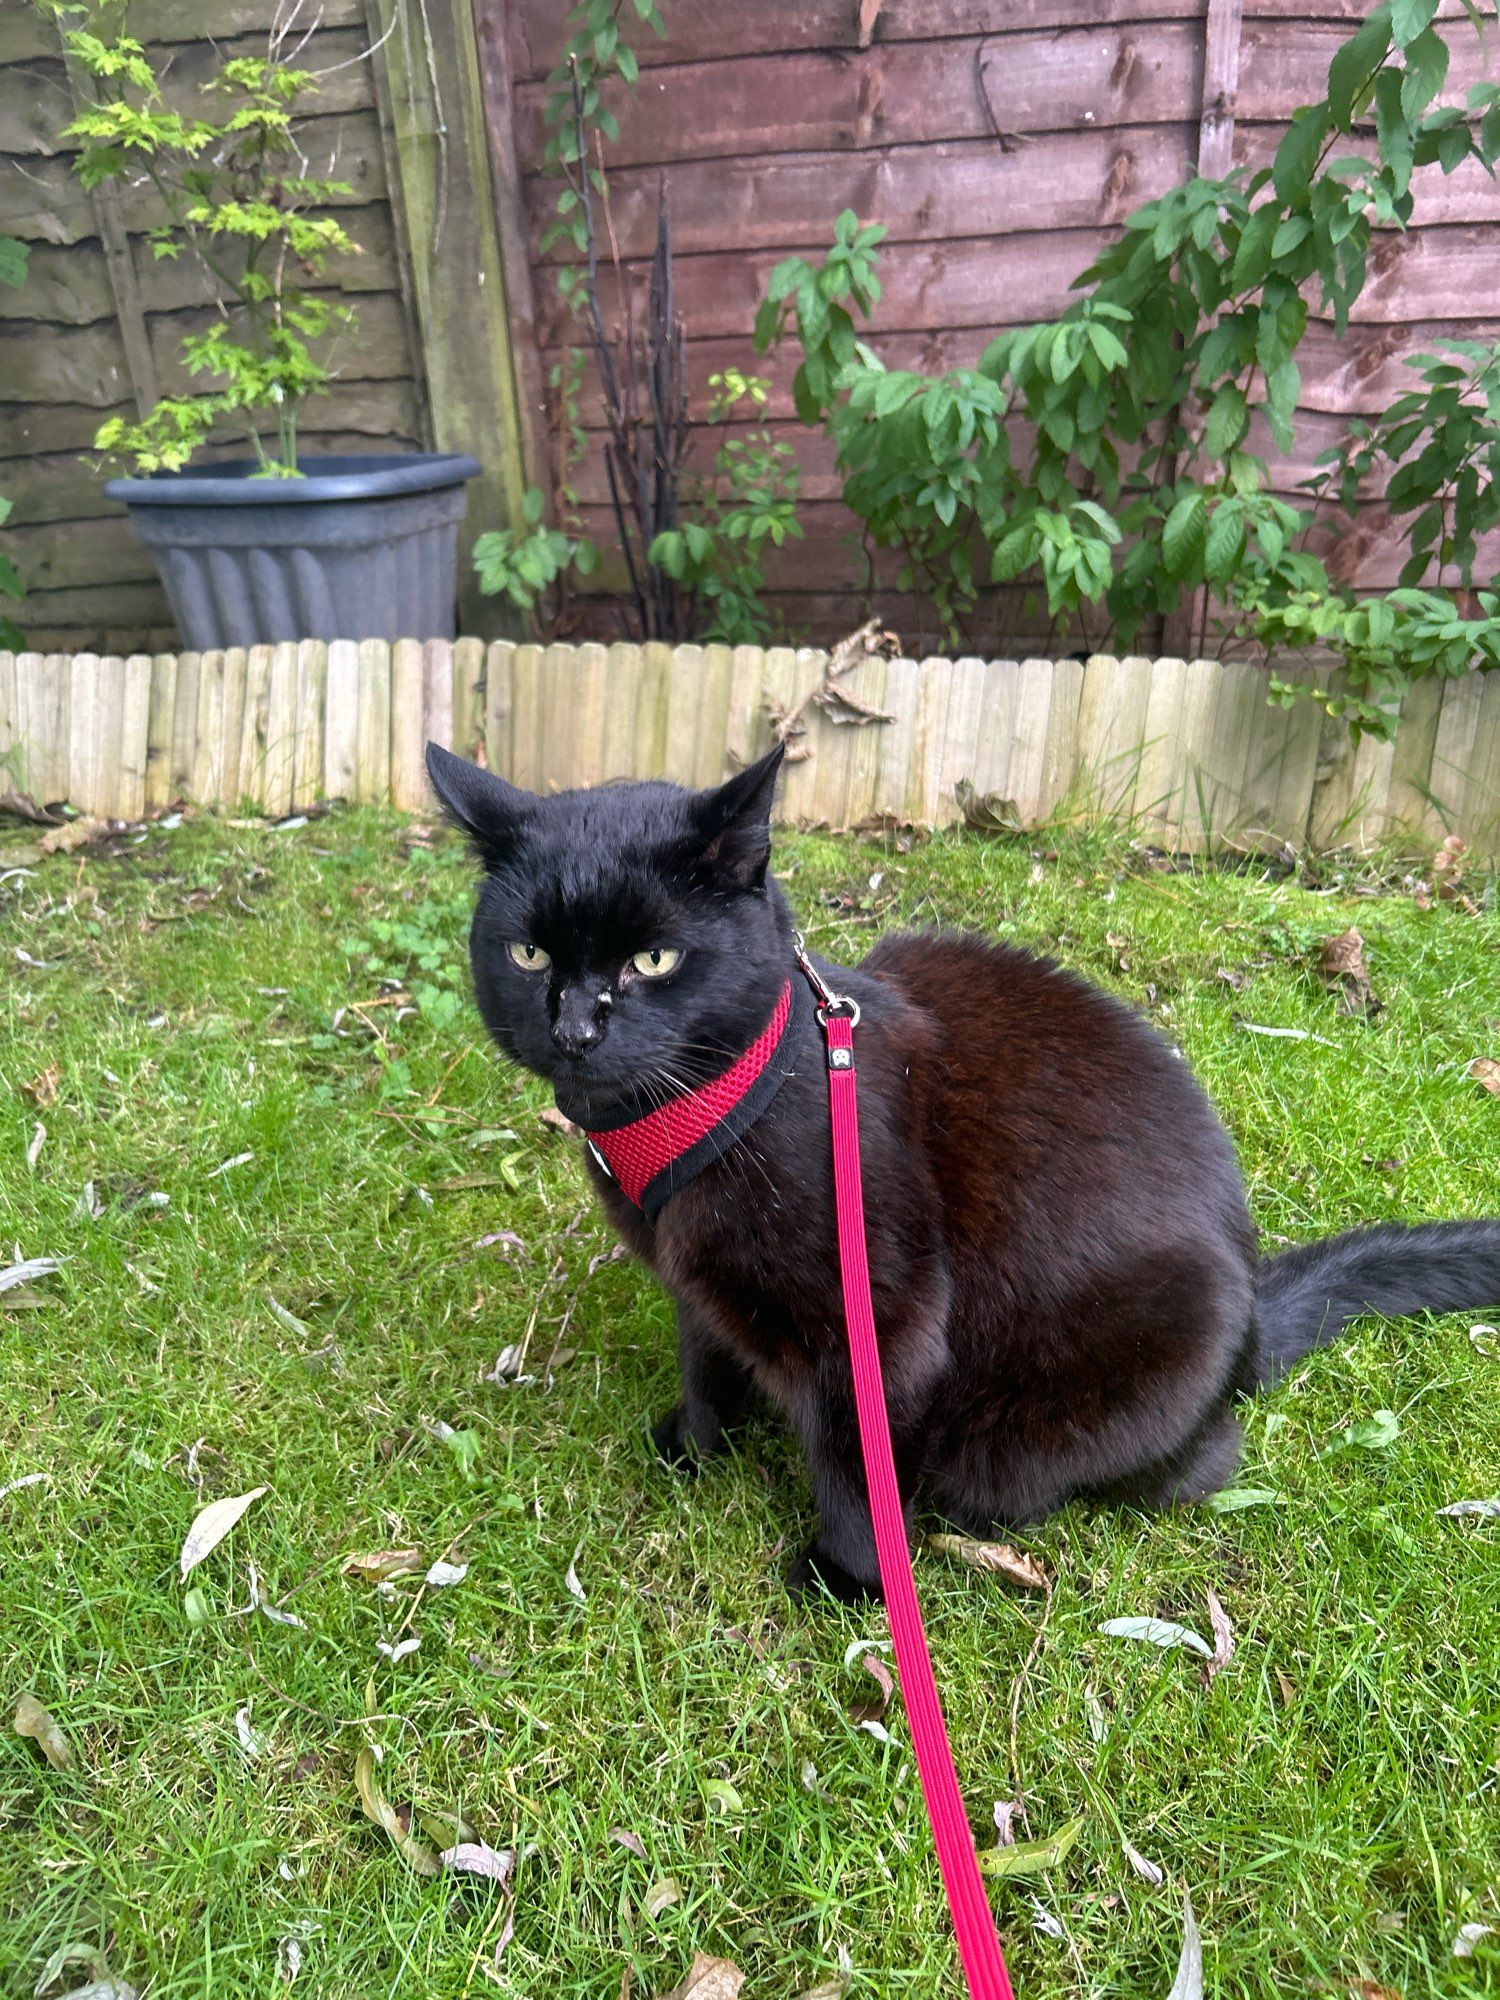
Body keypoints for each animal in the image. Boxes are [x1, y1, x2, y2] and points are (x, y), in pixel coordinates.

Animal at [428, 744, 1500, 1600]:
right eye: (528, 953)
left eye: (653, 960)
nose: (574, 1029)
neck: (695, 1114)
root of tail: (1249, 1321)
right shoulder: (697, 1285)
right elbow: (707, 1364)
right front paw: (695, 1450)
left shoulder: (883, 1316)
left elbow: (857, 1458)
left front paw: (851, 1581)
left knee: (1176, 1465)